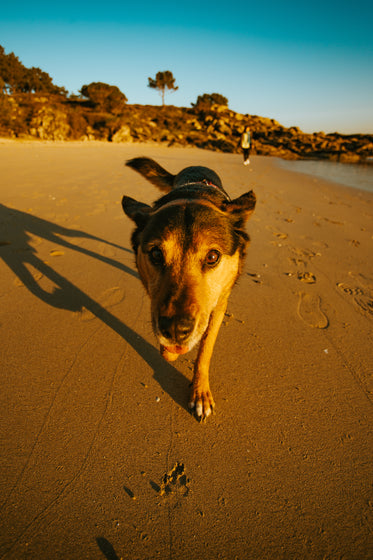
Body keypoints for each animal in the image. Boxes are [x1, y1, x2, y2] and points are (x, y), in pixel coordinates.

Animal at [122, 158, 256, 420]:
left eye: (213, 257)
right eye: (156, 254)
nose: (175, 329)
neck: (194, 194)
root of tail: (197, 166)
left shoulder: (219, 306)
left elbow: (205, 350)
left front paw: (200, 392)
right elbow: (168, 349)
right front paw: (171, 352)